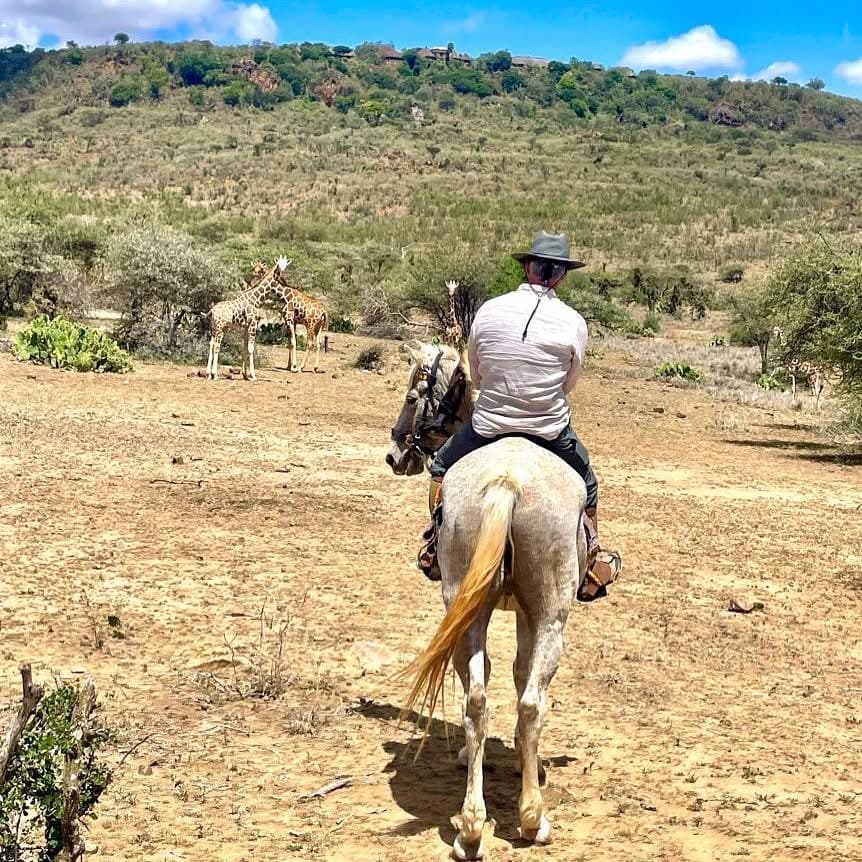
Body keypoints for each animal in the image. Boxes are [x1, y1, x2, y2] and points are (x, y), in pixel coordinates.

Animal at [386, 340, 589, 860]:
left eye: (412, 397)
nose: (394, 455)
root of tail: (507, 480)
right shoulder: (528, 615)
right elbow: (519, 675)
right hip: (551, 616)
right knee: (530, 702)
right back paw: (531, 819)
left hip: (468, 611)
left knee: (477, 699)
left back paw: (473, 827)